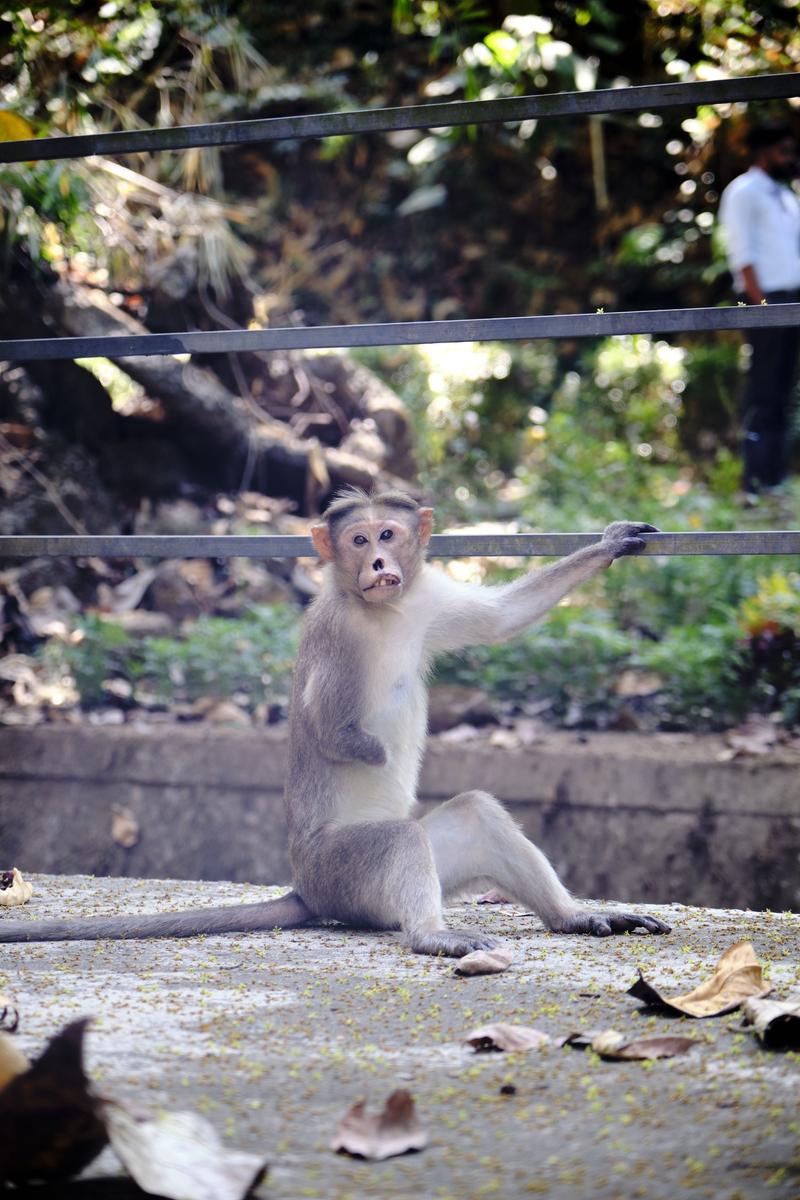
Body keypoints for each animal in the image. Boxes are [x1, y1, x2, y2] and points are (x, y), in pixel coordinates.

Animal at [0, 492, 671, 950]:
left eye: (387, 534)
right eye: (356, 542)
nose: (378, 563)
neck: (383, 613)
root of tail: (306, 886)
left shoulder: (425, 601)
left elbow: (502, 619)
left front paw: (610, 544)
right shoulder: (337, 636)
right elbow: (330, 730)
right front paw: (373, 751)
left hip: (404, 872)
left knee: (475, 816)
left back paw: (572, 917)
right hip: (342, 873)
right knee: (399, 840)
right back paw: (431, 935)